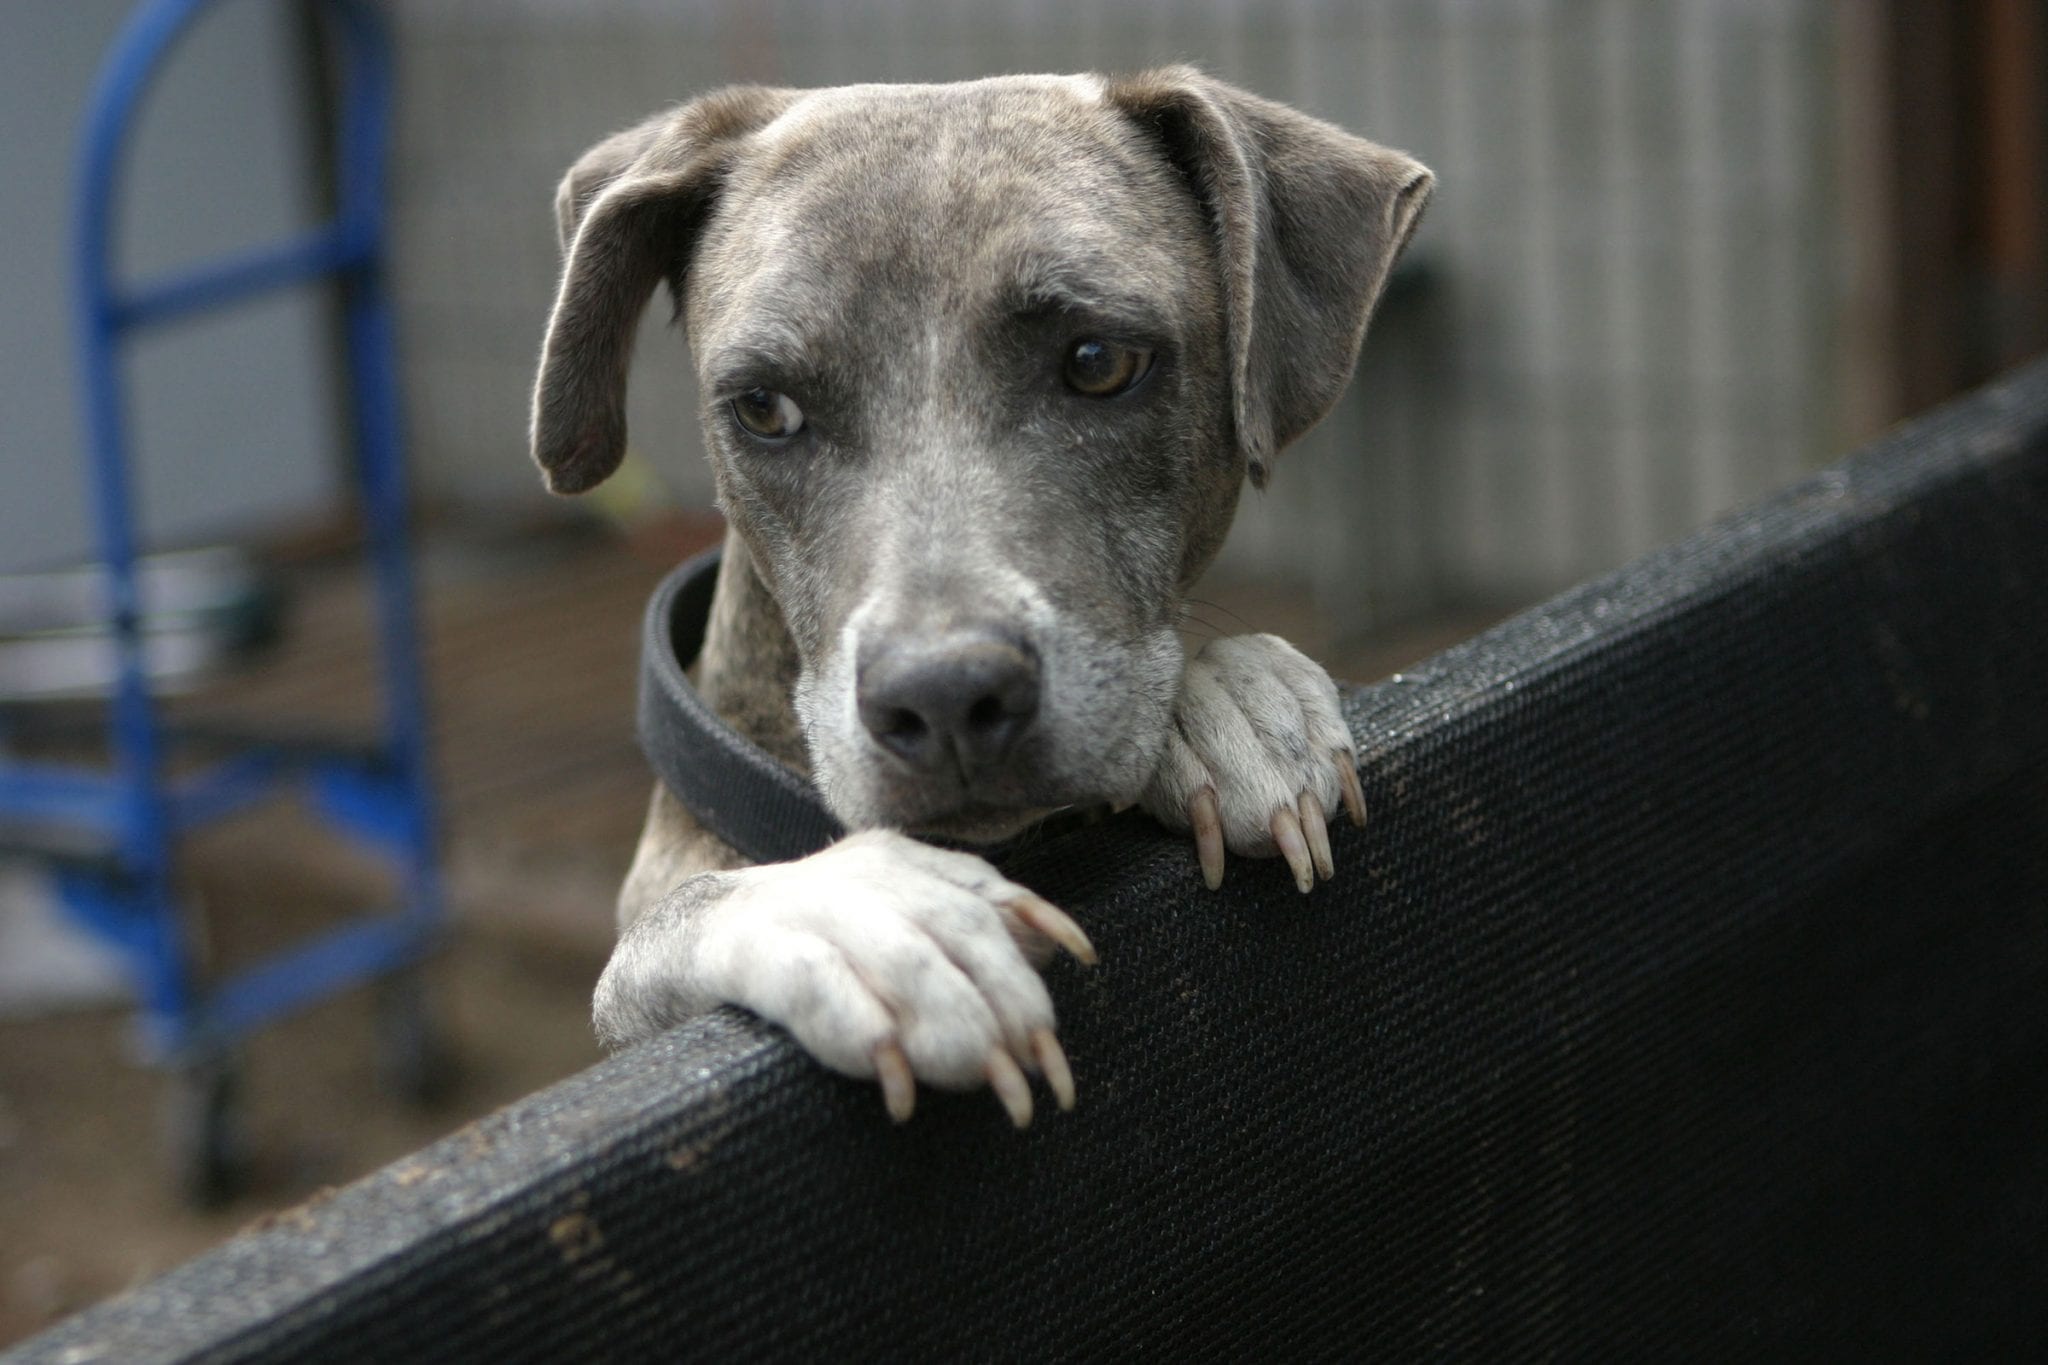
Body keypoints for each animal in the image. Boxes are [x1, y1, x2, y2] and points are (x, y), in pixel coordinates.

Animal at [528, 66, 1425, 1129]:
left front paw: (1227, 702)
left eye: (1099, 362)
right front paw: (858, 917)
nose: (946, 697)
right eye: (764, 408)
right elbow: (679, 917)